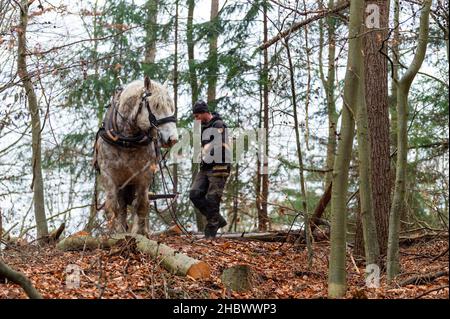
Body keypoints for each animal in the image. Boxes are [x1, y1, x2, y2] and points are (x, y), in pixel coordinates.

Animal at [95, 76, 178, 234]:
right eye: (156, 105)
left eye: (171, 107)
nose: (173, 138)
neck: (126, 140)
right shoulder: (109, 175)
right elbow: (114, 207)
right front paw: (116, 234)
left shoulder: (144, 175)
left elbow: (140, 205)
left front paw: (137, 233)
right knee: (122, 205)